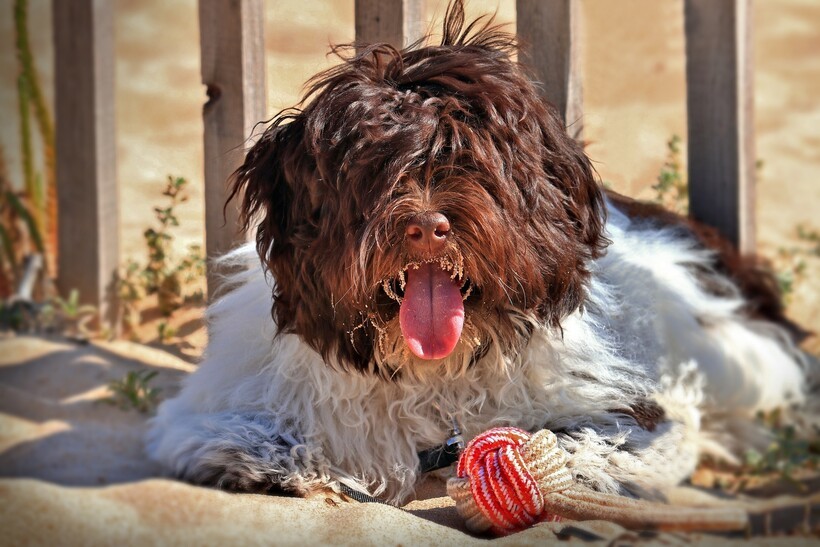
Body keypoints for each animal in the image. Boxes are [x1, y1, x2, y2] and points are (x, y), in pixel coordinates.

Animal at [147, 1, 808, 506]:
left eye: (469, 160)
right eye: (370, 168)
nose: (426, 227)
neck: (433, 373)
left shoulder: (631, 403)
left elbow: (609, 435)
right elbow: (229, 429)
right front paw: (271, 459)